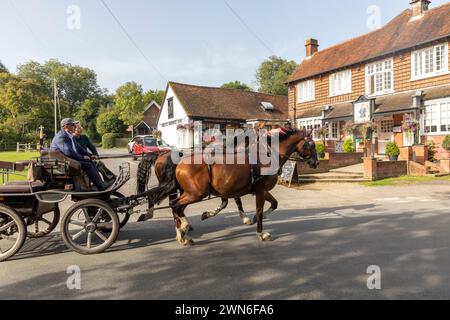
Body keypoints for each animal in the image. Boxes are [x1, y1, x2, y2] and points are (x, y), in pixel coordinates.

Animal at [146, 127, 318, 245]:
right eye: (311, 145)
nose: (315, 163)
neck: (268, 155)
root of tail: (179, 162)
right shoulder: (260, 190)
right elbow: (258, 210)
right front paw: (261, 232)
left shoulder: (259, 189)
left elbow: (274, 204)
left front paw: (255, 218)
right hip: (196, 194)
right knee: (175, 206)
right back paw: (183, 230)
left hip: (189, 193)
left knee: (177, 207)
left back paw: (183, 233)